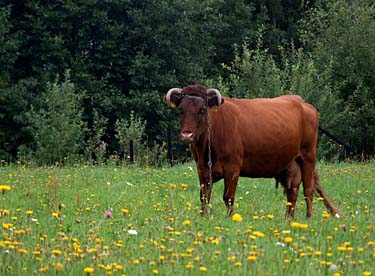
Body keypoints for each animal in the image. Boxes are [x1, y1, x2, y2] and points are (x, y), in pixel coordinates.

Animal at [164, 83, 340, 218]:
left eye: (202, 110)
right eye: (181, 110)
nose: (187, 135)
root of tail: (302, 102)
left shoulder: (233, 167)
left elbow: (228, 197)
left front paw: (230, 218)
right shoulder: (202, 168)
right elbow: (204, 197)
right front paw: (203, 217)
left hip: (308, 156)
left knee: (308, 190)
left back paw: (308, 218)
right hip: (289, 164)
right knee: (292, 192)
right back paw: (288, 219)